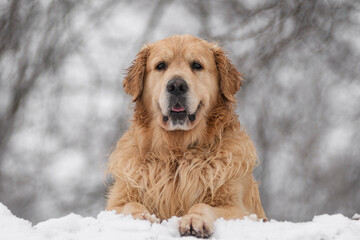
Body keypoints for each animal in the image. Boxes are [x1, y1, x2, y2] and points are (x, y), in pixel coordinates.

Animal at [105, 34, 266, 237]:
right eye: (161, 65)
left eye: (197, 65)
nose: (176, 86)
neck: (177, 150)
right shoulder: (116, 202)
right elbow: (129, 205)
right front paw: (140, 218)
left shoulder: (239, 209)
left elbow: (203, 205)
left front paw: (194, 220)